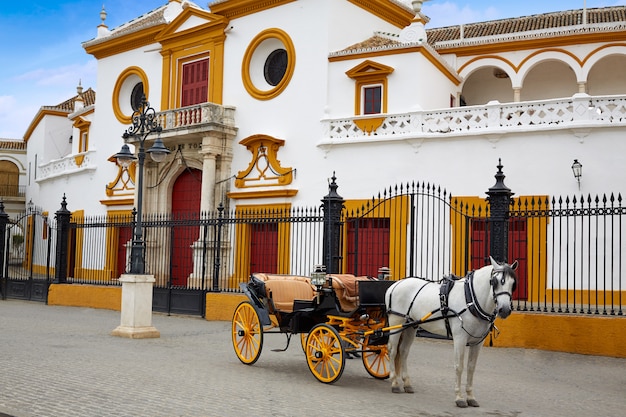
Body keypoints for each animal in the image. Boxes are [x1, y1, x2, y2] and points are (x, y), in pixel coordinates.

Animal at [386, 256, 516, 406]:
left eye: (513, 284)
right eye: (495, 282)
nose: (505, 309)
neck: (470, 299)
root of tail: (396, 284)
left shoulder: (478, 342)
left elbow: (471, 367)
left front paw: (470, 397)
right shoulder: (460, 338)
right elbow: (459, 366)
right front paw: (459, 397)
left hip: (410, 326)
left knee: (403, 351)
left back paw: (407, 383)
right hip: (396, 323)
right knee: (392, 350)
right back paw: (395, 383)